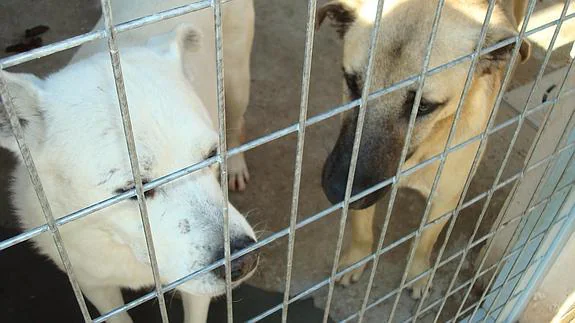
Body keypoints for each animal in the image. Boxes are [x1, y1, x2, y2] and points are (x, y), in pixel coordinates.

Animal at [0, 22, 256, 323]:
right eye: (131, 189)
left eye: (212, 154)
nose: (244, 260)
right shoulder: (92, 284)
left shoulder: (195, 288)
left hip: (237, 79)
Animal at [320, 0, 532, 300]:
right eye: (352, 83)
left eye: (423, 106)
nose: (338, 191)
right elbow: (362, 230)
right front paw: (356, 259)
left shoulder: (446, 198)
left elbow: (425, 241)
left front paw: (417, 273)